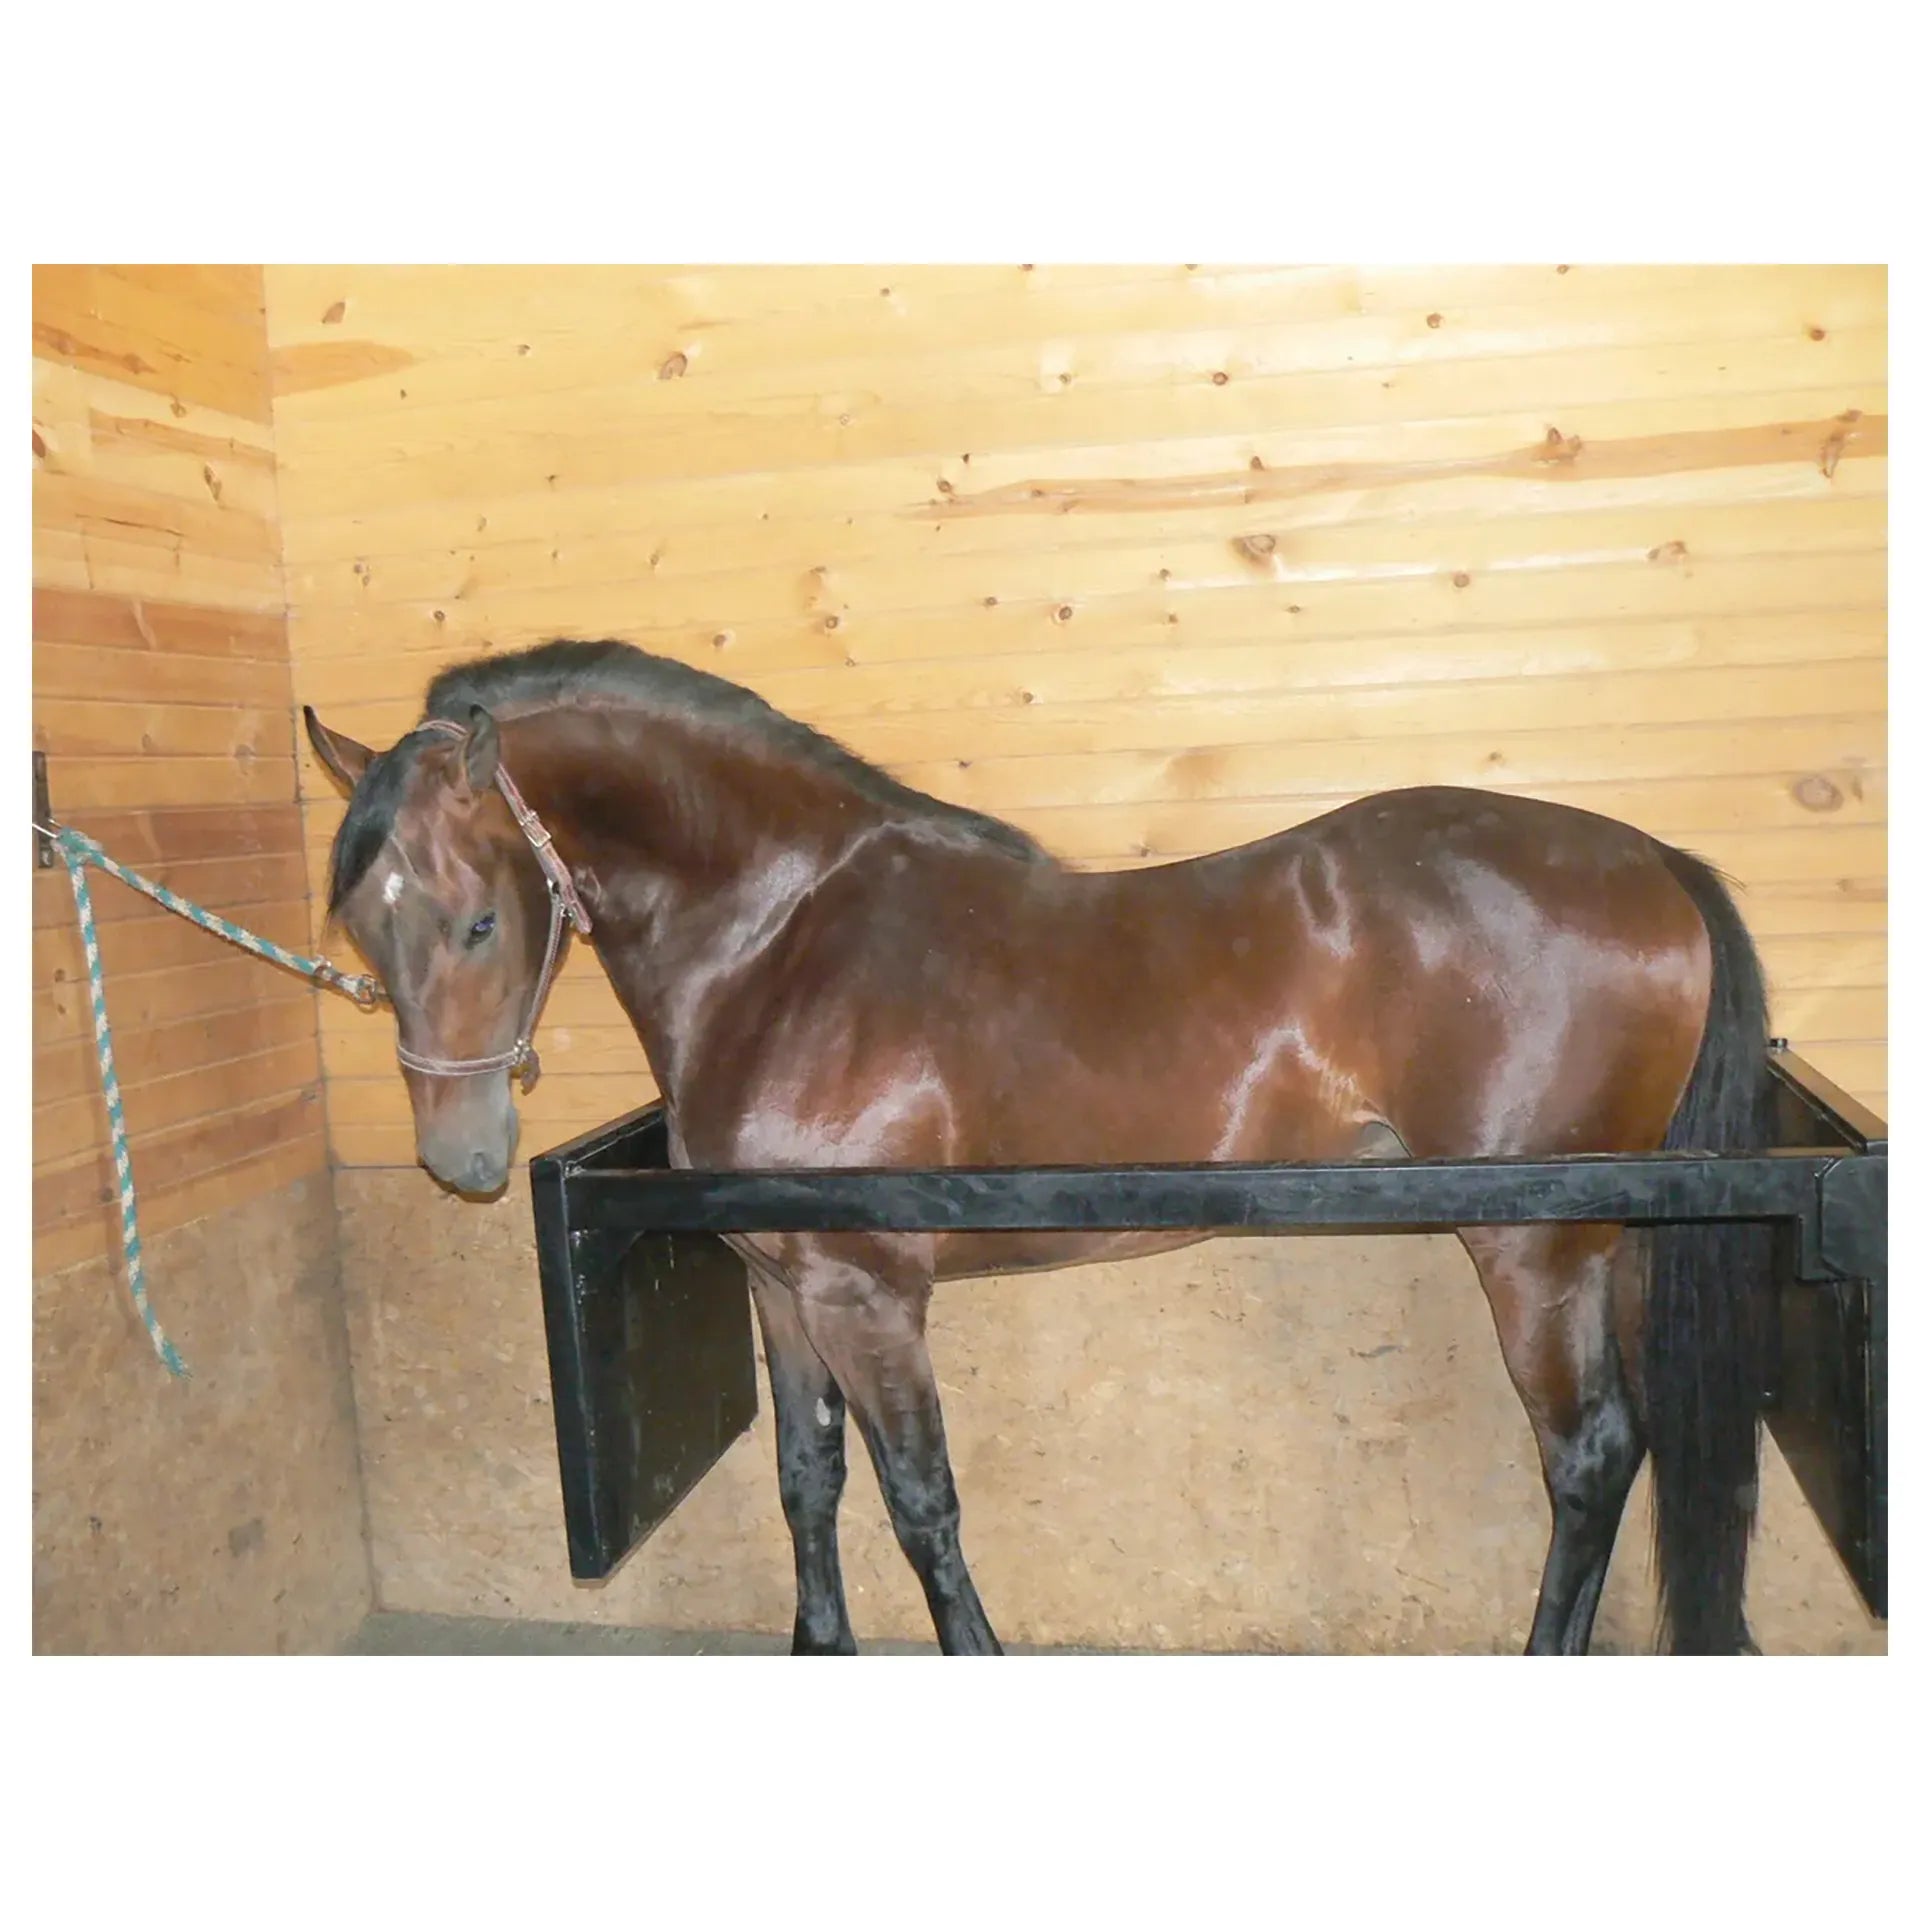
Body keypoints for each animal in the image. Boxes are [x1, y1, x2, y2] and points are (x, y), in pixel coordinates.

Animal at [305, 636, 1771, 1655]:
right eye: (363, 929)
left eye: (477, 920)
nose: (463, 1157)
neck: (784, 942)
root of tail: (1653, 862)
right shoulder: (780, 1285)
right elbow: (808, 1483)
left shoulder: (866, 1295)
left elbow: (920, 1504)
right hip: (1610, 1247)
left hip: (1533, 1248)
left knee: (1586, 1458)